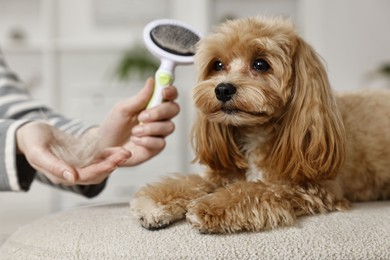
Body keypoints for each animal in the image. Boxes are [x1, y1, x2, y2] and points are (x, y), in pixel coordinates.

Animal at [131, 16, 390, 234]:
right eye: (217, 64)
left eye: (260, 64)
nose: (222, 89)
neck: (257, 133)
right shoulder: (223, 174)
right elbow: (192, 182)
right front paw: (154, 203)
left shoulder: (312, 188)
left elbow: (256, 189)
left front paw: (209, 206)